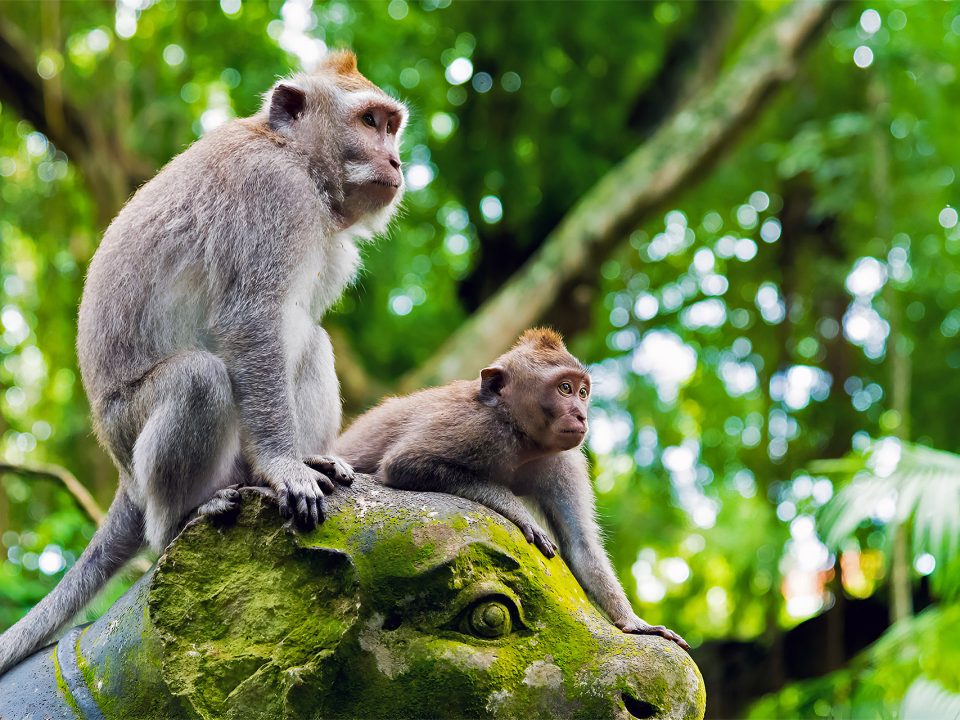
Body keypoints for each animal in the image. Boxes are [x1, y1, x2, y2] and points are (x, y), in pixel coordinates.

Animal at [0, 51, 408, 674]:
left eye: (391, 125)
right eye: (369, 122)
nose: (396, 159)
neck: (296, 159)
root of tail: (123, 476)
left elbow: (288, 331)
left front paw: (299, 459)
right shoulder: (273, 194)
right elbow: (250, 321)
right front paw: (284, 467)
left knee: (311, 342)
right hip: (130, 432)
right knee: (199, 379)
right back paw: (180, 517)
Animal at [334, 329, 689, 650]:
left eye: (583, 392)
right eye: (565, 388)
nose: (581, 415)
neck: (521, 438)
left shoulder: (564, 462)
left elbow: (580, 545)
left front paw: (634, 623)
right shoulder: (475, 426)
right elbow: (404, 463)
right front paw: (520, 514)